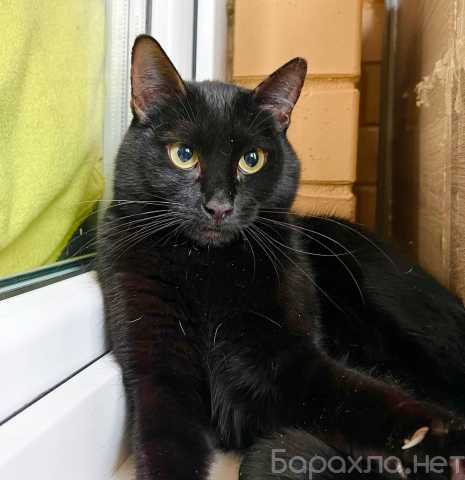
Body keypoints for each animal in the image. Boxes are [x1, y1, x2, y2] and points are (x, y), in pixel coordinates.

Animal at [97, 35, 465, 480]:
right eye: (183, 154)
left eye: (251, 160)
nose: (218, 206)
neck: (206, 268)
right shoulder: (156, 370)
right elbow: (165, 445)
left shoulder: (288, 361)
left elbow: (358, 395)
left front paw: (430, 433)